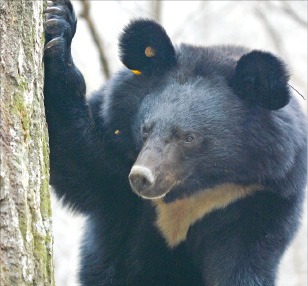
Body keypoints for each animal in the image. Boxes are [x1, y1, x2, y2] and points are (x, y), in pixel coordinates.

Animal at [44, 1, 306, 284]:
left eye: (189, 138)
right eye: (145, 130)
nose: (141, 177)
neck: (192, 190)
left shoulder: (258, 196)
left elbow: (241, 263)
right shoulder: (117, 160)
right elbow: (78, 158)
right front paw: (57, 28)